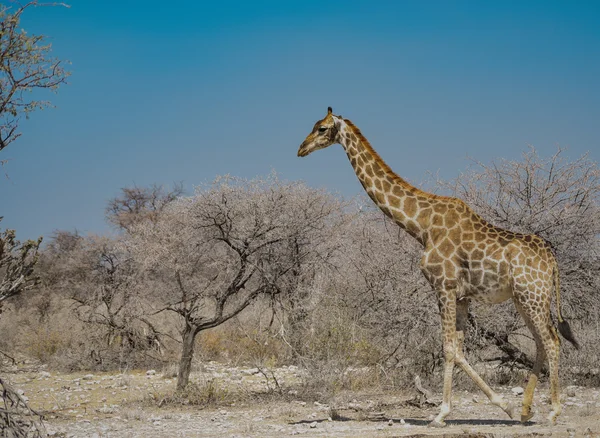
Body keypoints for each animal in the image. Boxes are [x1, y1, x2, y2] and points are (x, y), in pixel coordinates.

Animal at [298, 108, 580, 426]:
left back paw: (553, 411)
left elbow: (448, 349)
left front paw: (440, 414)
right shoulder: (462, 296)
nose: (301, 149)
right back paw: (524, 410)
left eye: (321, 128)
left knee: (552, 341)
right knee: (541, 342)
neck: (422, 226)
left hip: (532, 296)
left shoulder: (443, 286)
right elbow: (458, 351)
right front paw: (503, 406)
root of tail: (552, 259)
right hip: (525, 299)